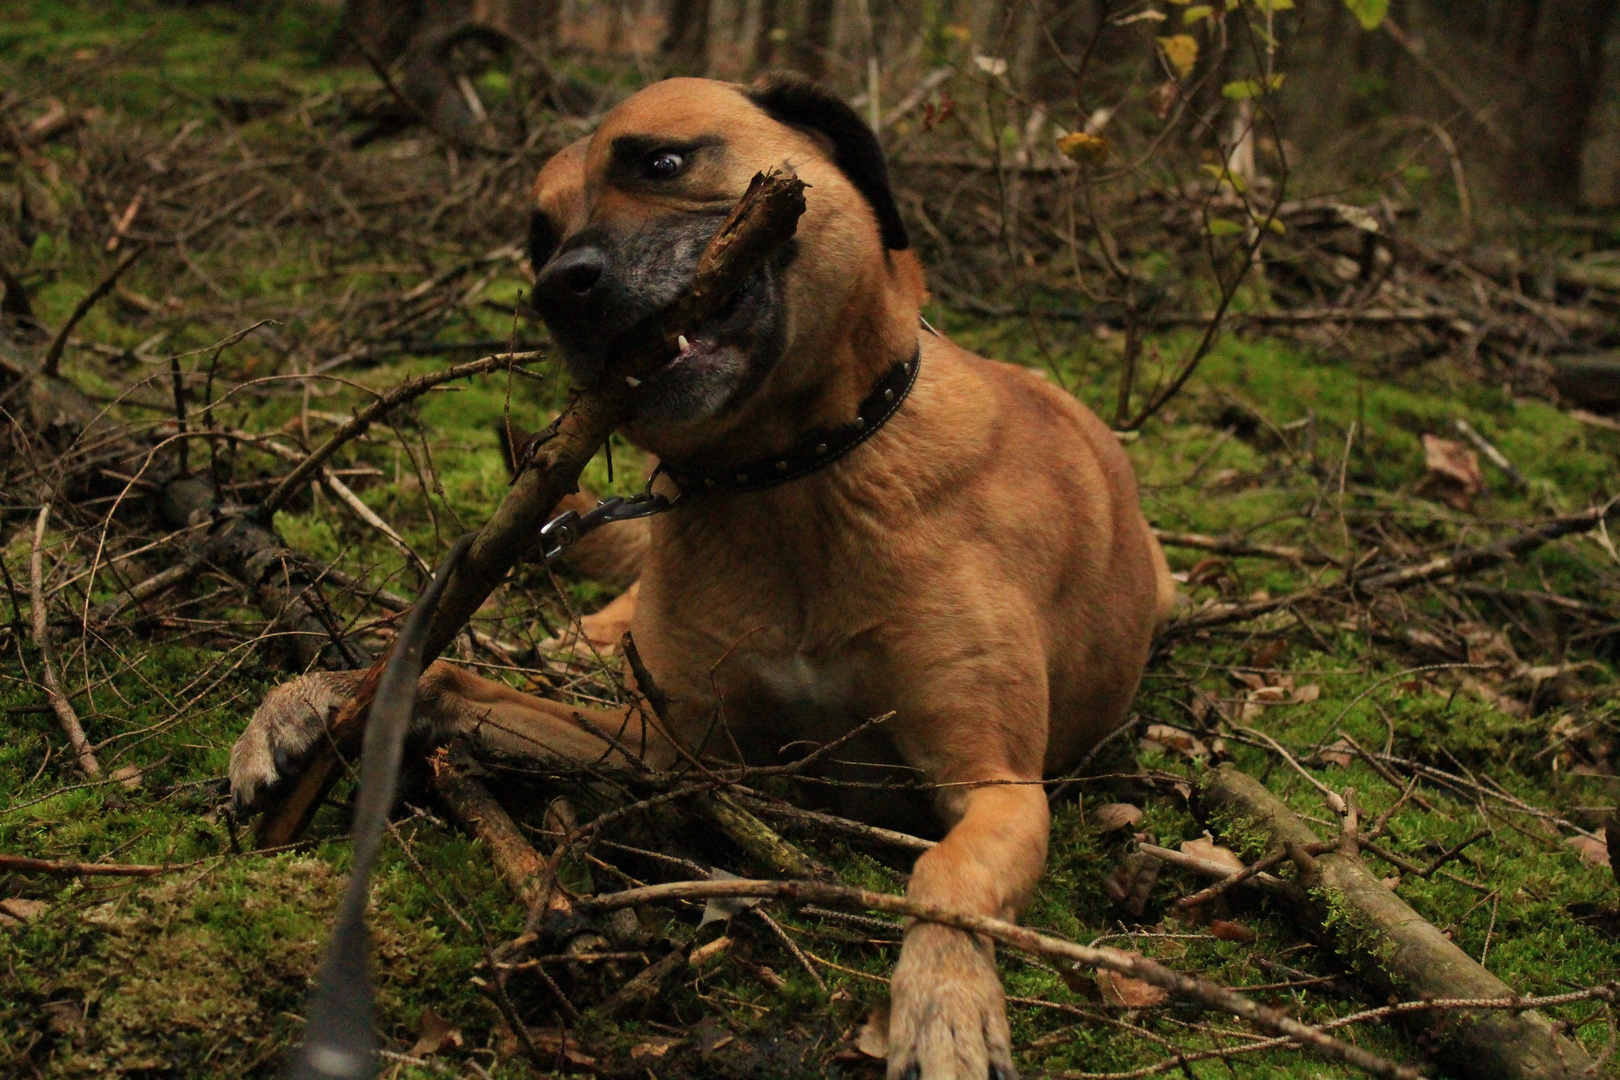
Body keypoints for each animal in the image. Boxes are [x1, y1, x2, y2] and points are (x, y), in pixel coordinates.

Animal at [228, 71, 1172, 1075]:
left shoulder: (998, 787)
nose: (558, 290)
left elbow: (943, 871)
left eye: (663, 163)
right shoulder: (670, 748)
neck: (785, 481)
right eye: (538, 239)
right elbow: (450, 677)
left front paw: (945, 1004)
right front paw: (318, 699)